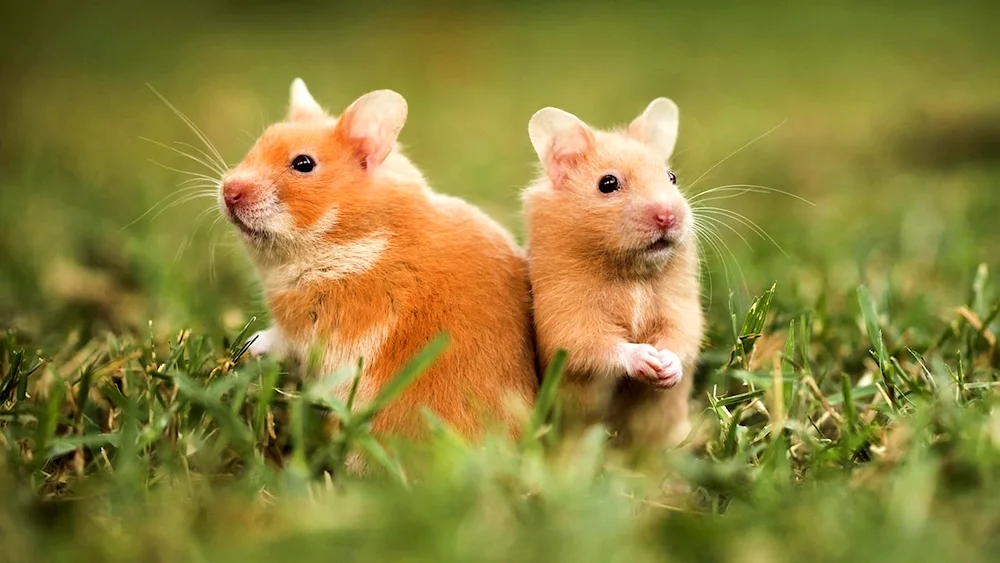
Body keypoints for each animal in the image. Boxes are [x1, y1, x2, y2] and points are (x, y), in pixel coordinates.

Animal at [220, 78, 540, 468]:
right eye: (259, 143)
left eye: (303, 163)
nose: (228, 191)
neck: (351, 236)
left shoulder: (312, 328)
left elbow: (277, 339)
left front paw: (246, 346)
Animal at [524, 98, 704, 454]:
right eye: (607, 183)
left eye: (672, 177)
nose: (668, 216)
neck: (631, 273)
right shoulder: (568, 319)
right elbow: (597, 346)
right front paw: (647, 359)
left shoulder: (680, 308)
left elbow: (681, 338)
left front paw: (665, 367)